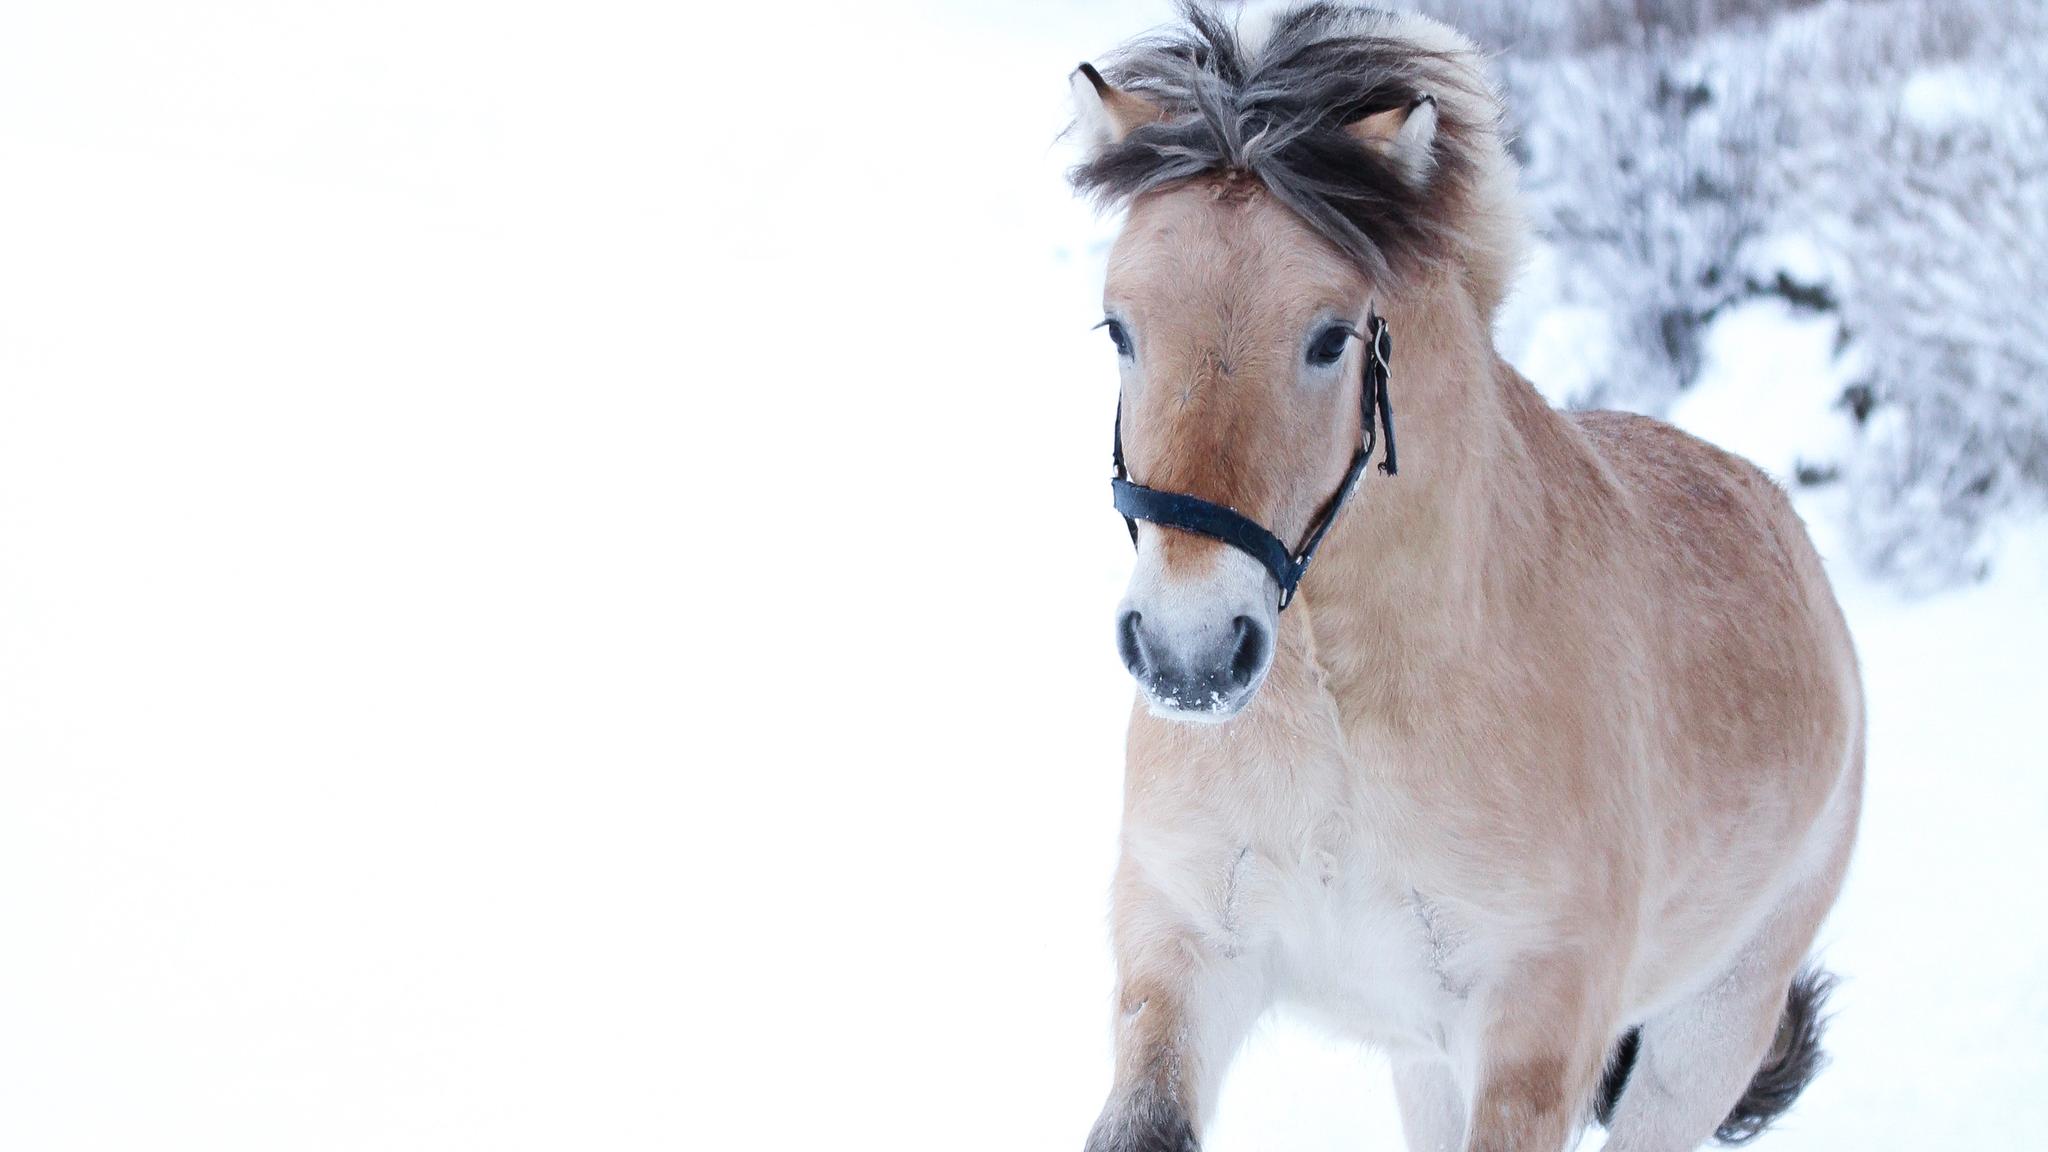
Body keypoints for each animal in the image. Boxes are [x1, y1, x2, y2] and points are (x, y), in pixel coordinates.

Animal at [1063, 6, 1862, 1151]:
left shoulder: (1533, 1033)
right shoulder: (1182, 955)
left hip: (1707, 1031)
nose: (1188, 654)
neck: (1341, 720)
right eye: (1118, 327)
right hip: (1423, 1057)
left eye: (1328, 339)